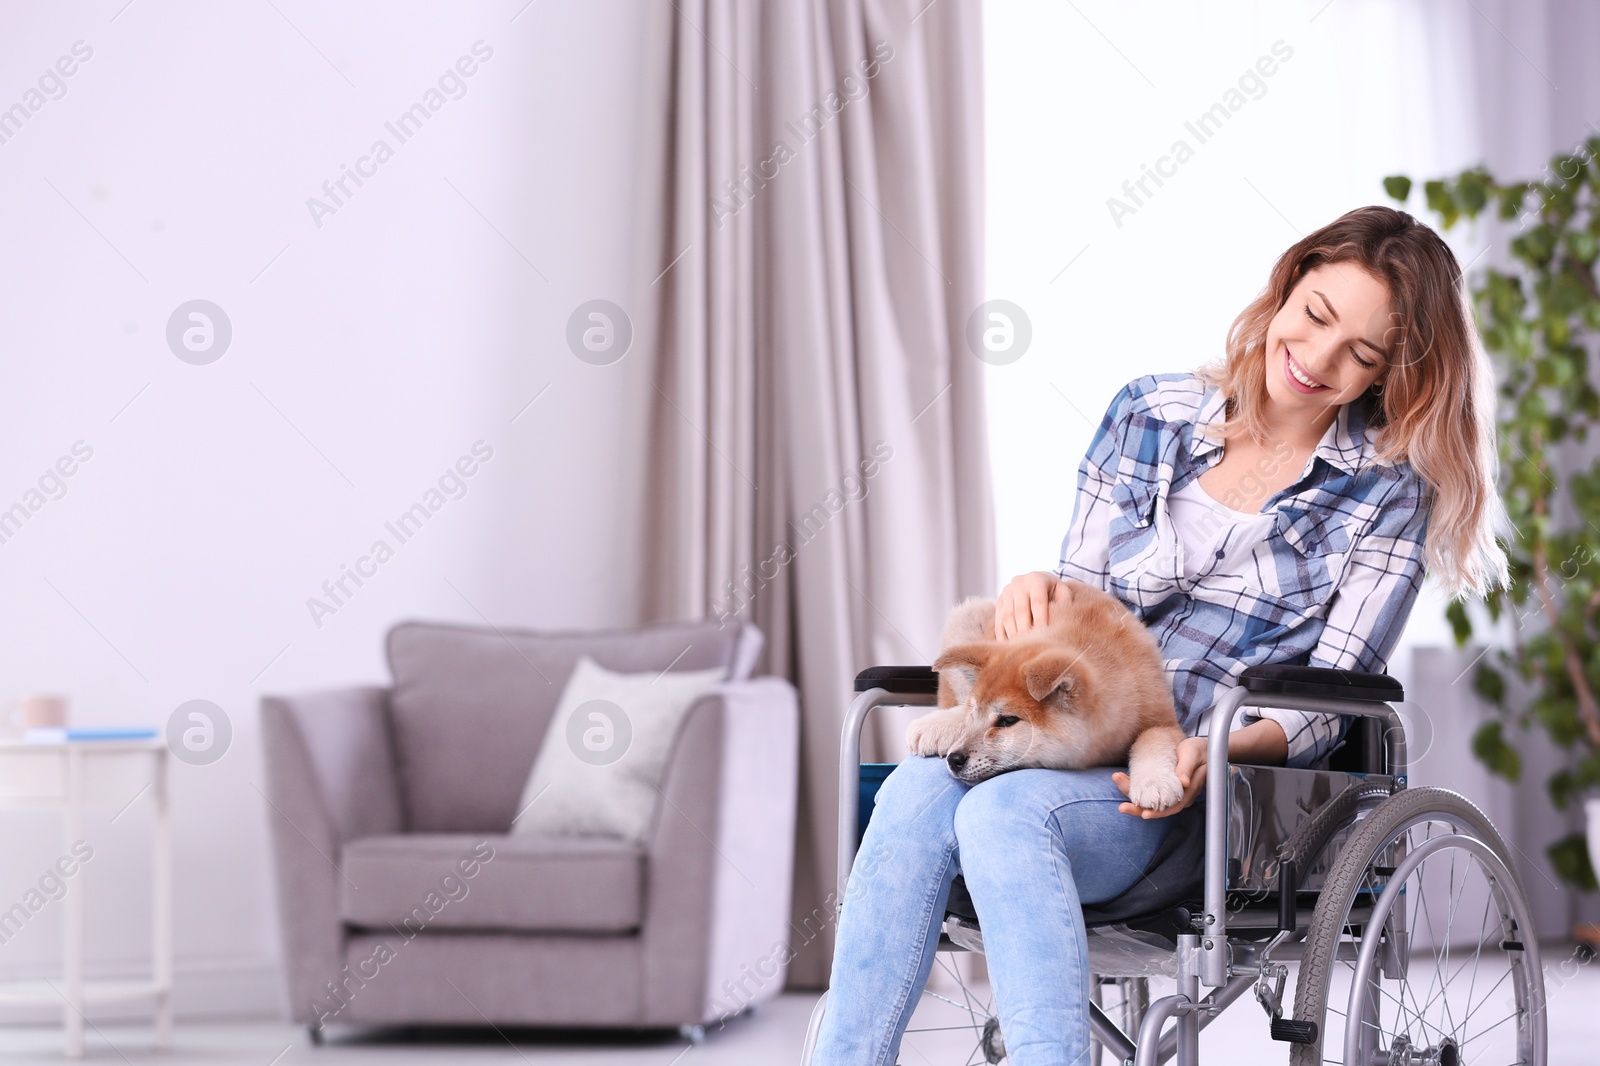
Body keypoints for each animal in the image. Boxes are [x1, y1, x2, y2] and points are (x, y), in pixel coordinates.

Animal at [902, 582, 1190, 806]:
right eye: (974, 714)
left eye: (1007, 721)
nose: (954, 759)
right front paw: (935, 725)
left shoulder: (1162, 719)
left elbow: (1152, 739)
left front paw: (1154, 782)